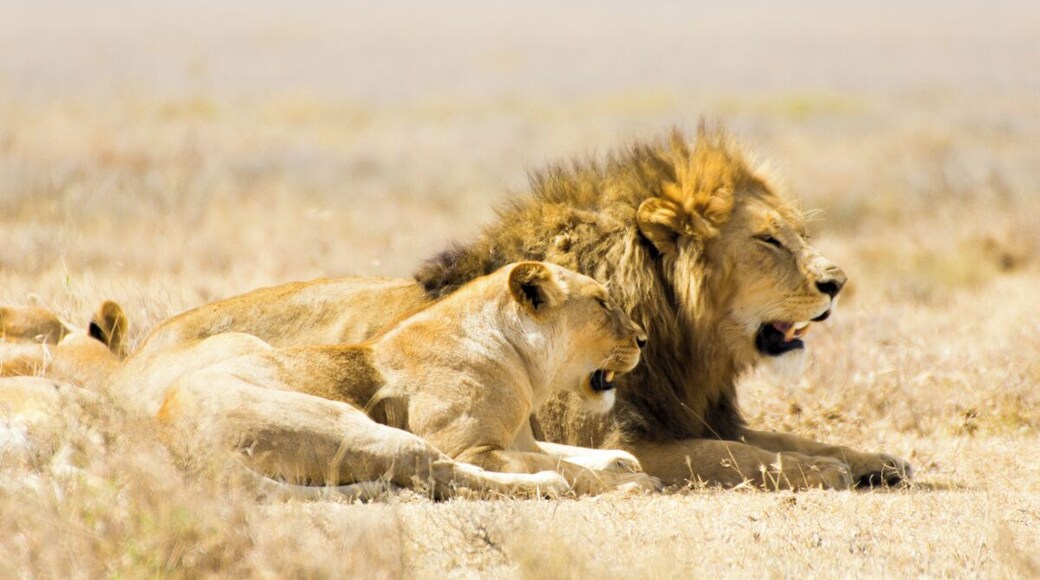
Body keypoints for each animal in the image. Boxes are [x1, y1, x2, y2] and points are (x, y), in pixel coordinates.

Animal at [112, 262, 657, 497]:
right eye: (603, 303)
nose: (643, 338)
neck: (521, 361)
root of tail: (173, 442)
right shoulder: (475, 448)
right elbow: (563, 464)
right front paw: (629, 480)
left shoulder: (520, 439)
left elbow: (570, 451)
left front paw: (621, 461)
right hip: (349, 423)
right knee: (434, 471)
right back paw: (552, 486)